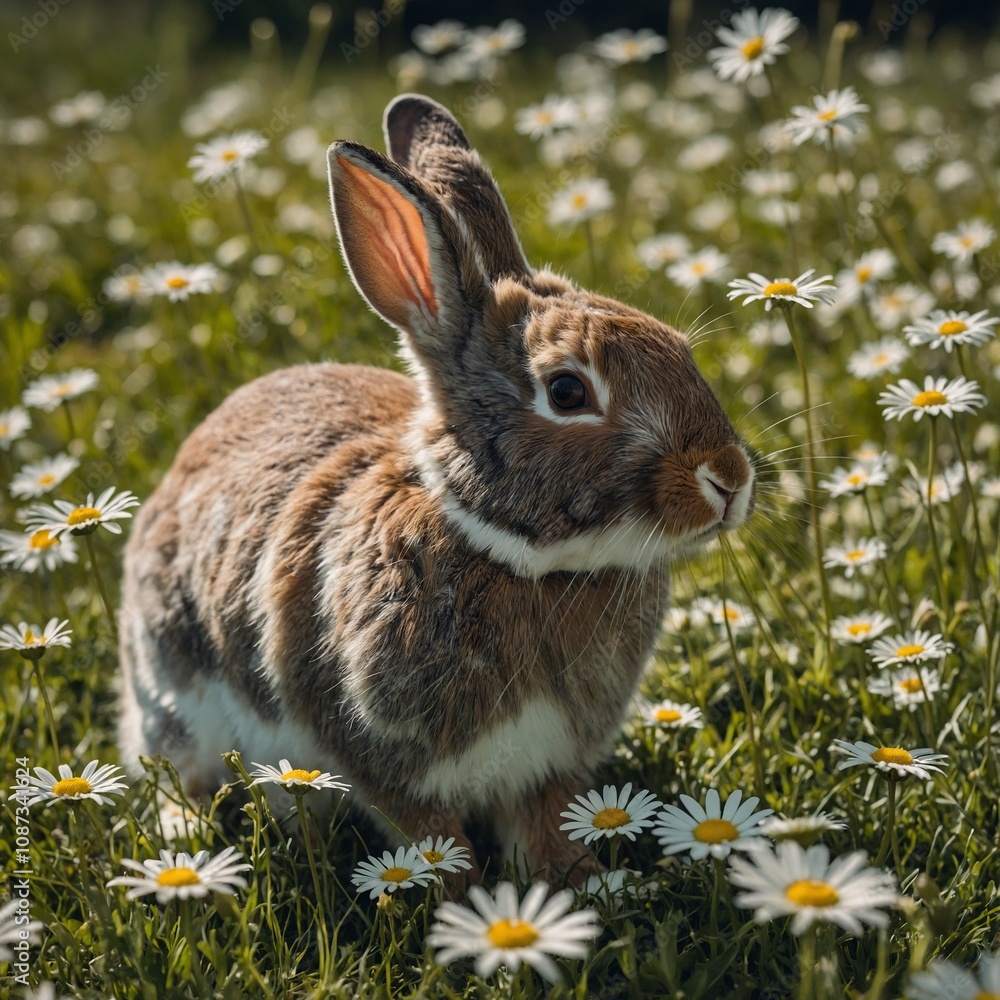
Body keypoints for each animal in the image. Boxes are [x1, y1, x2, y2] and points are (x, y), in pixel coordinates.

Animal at [118, 93, 755, 884]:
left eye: (678, 347)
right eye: (567, 391)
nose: (730, 480)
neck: (515, 559)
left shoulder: (550, 766)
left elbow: (545, 831)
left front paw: (579, 884)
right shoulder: (382, 760)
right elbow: (433, 842)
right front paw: (464, 903)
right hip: (171, 687)